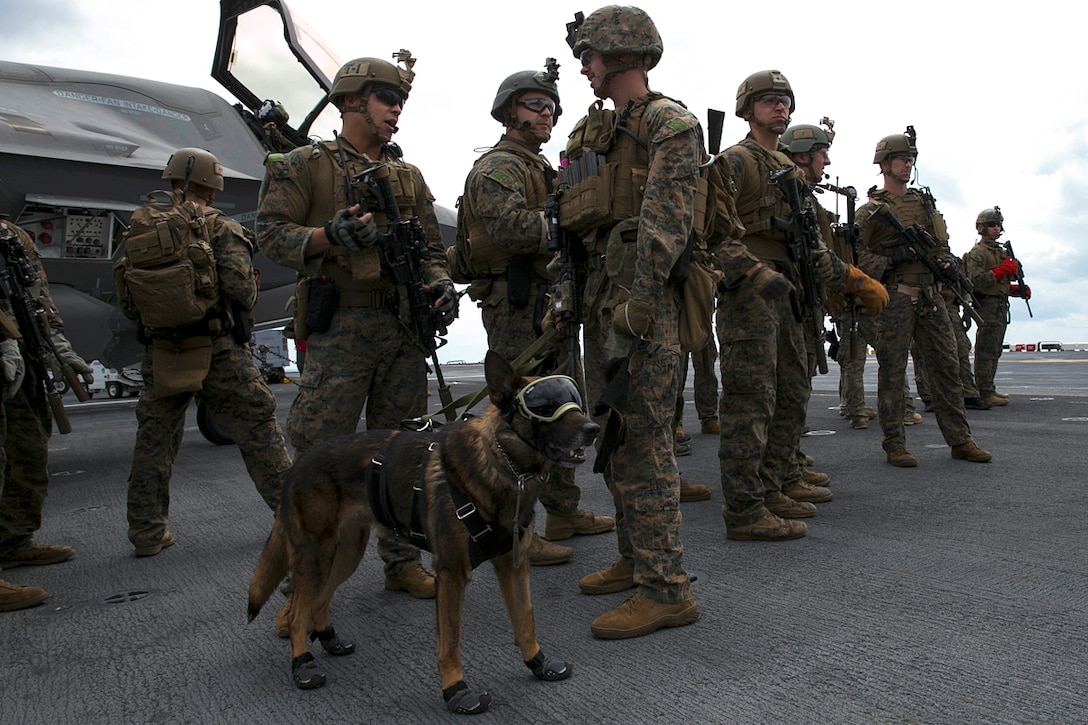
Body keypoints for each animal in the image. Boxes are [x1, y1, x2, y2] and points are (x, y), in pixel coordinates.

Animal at [246, 350, 600, 709]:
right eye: (545, 405)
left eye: (573, 400)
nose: (594, 429)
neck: (503, 465)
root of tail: (298, 464)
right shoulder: (451, 573)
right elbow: (450, 640)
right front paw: (456, 690)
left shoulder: (513, 566)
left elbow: (525, 620)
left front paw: (537, 662)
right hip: (317, 556)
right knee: (297, 612)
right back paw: (302, 664)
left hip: (345, 554)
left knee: (319, 600)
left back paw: (329, 639)